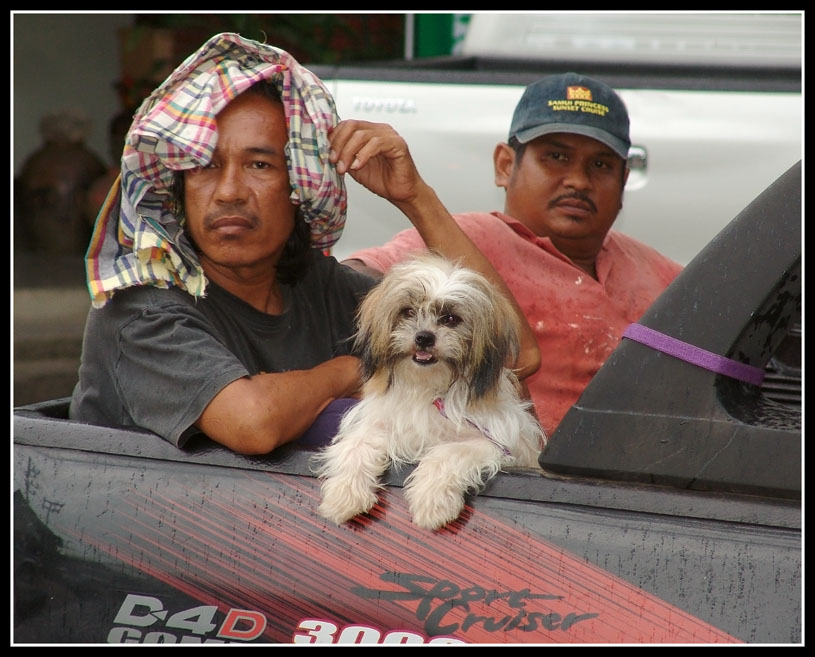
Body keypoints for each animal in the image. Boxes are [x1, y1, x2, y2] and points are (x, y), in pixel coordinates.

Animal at [316, 250, 544, 528]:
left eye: (451, 319)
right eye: (408, 312)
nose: (424, 337)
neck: (428, 386)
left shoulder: (497, 441)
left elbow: (450, 451)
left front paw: (432, 502)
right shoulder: (379, 422)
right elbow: (355, 445)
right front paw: (344, 494)